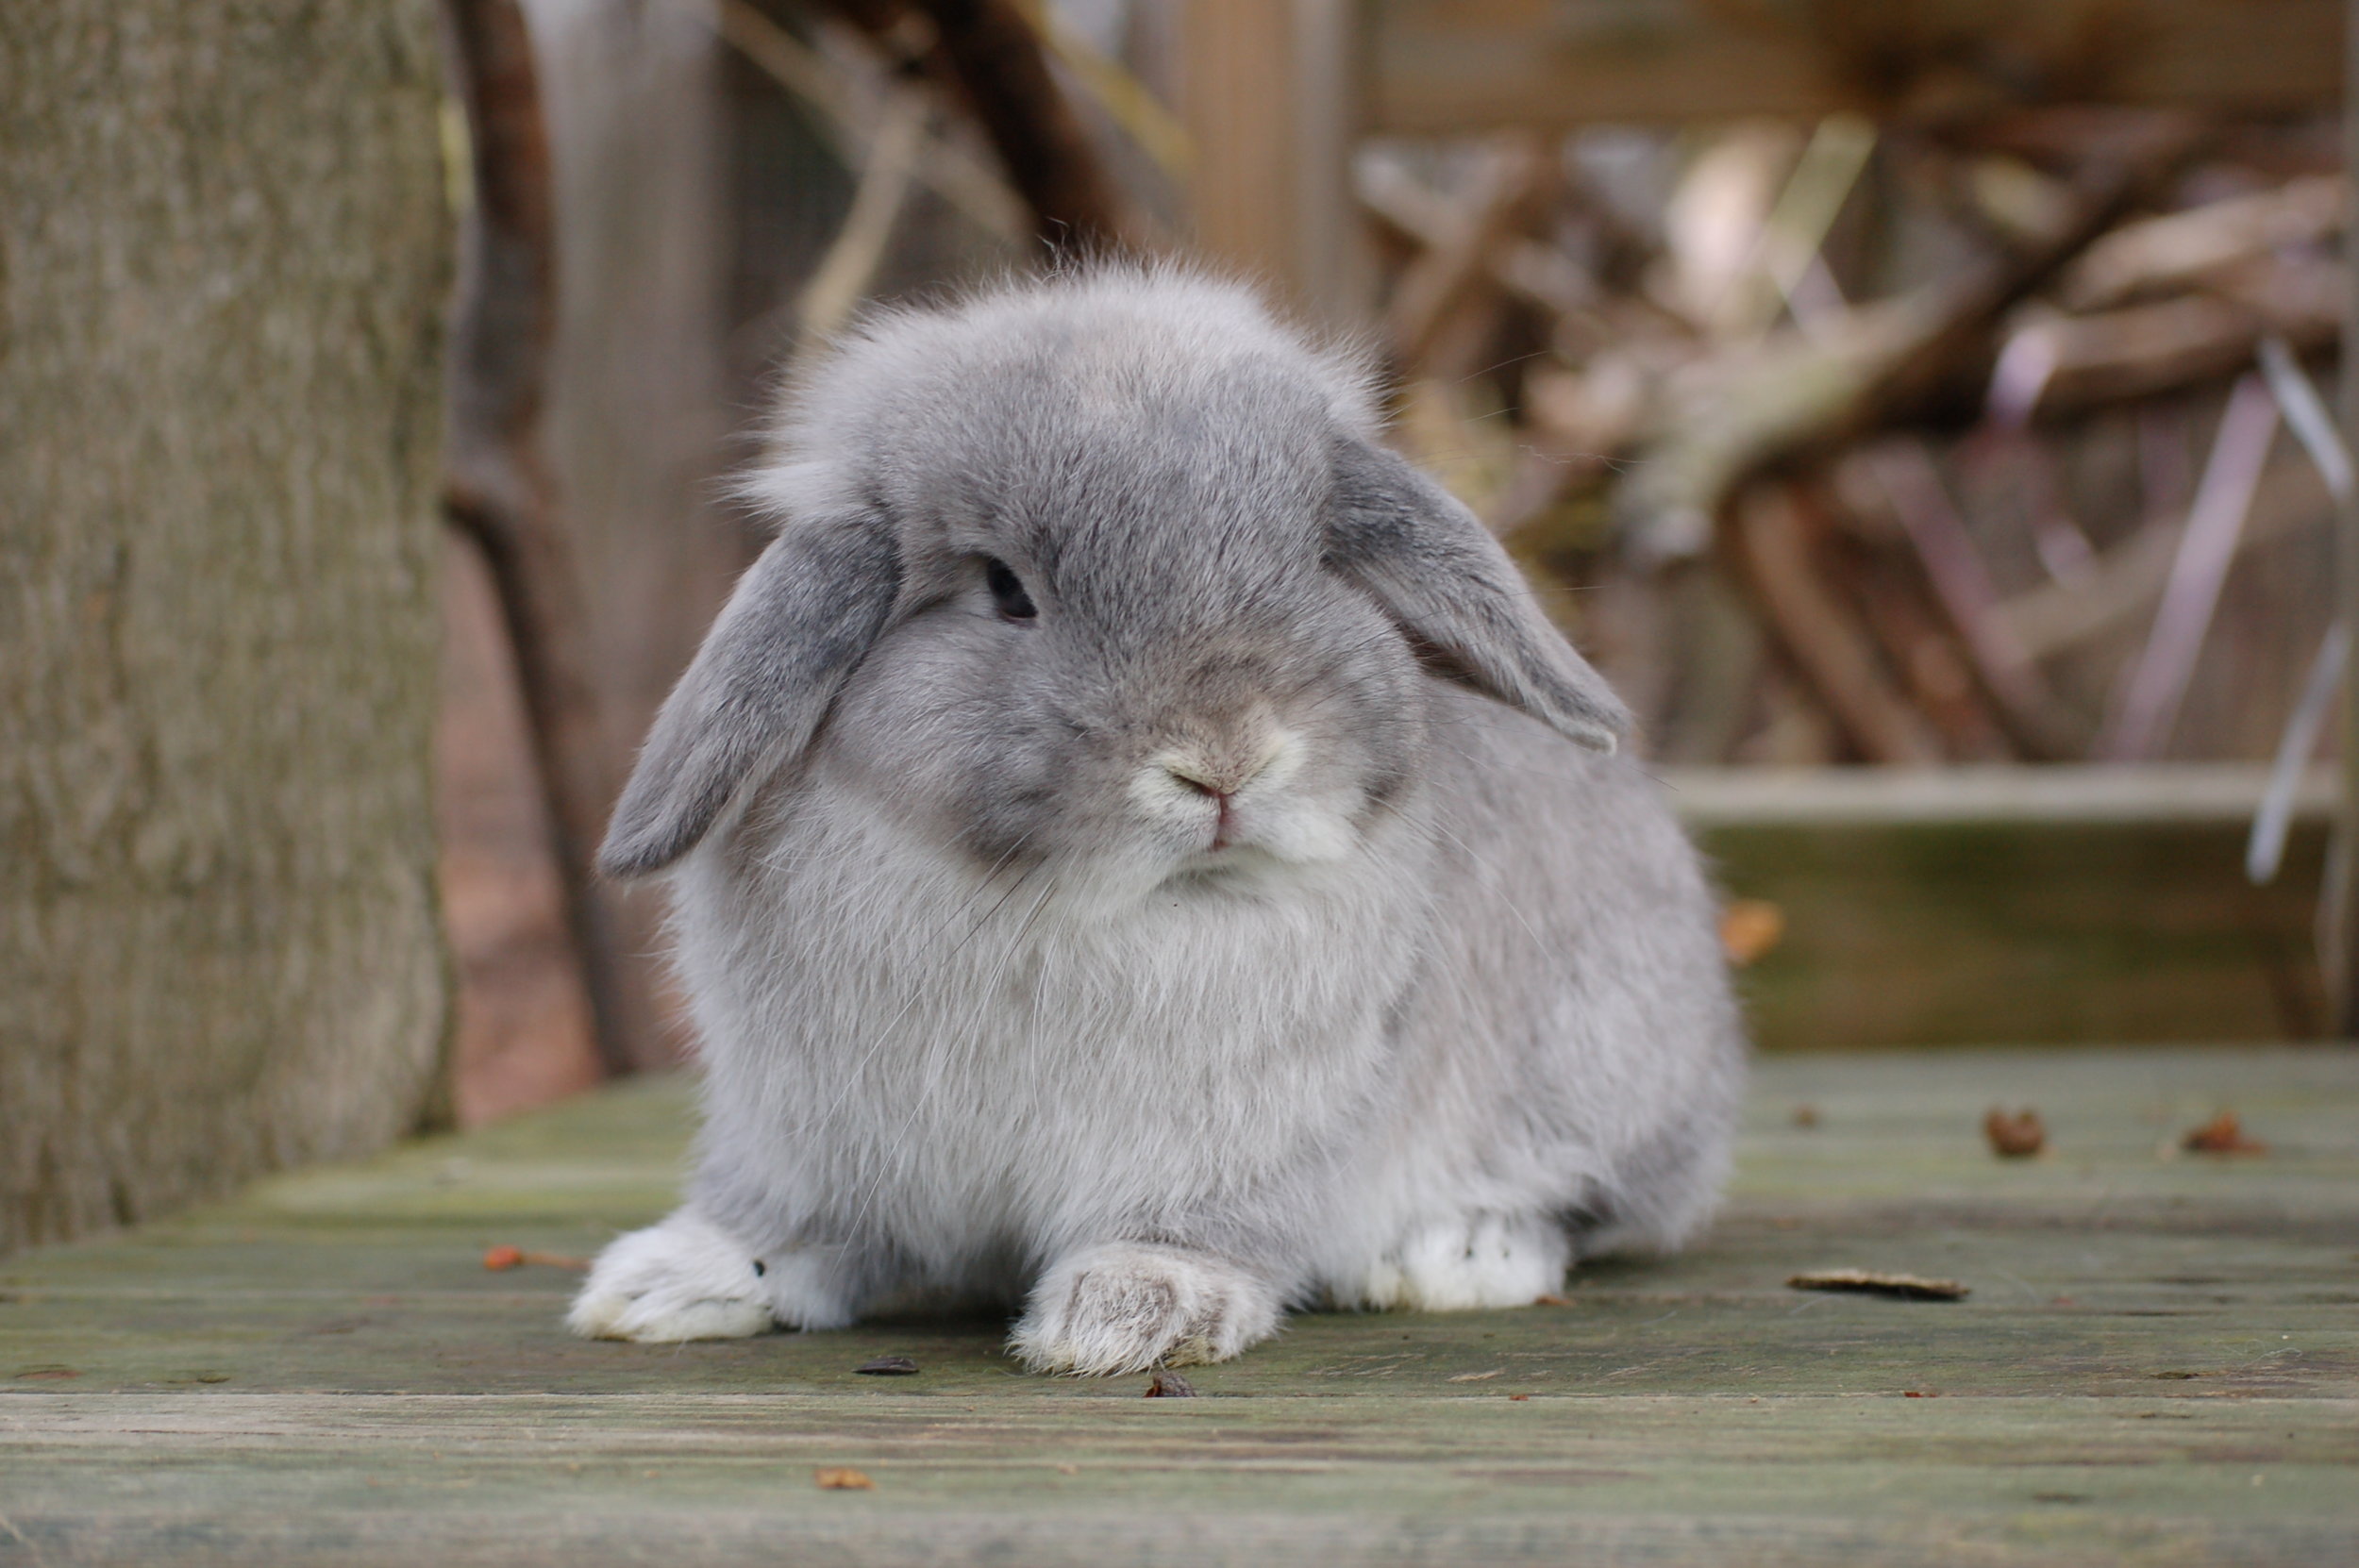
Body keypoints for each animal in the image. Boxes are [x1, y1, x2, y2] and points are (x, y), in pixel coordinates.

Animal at [566, 268, 1755, 1367]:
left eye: (1315, 563)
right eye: (1005, 588)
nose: (1223, 759)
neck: (1056, 904)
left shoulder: (1251, 1140)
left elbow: (1198, 1227)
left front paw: (1130, 1313)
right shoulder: (801, 1130)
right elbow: (788, 1223)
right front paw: (670, 1281)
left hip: (1602, 1061)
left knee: (1592, 1200)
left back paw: (1460, 1253)